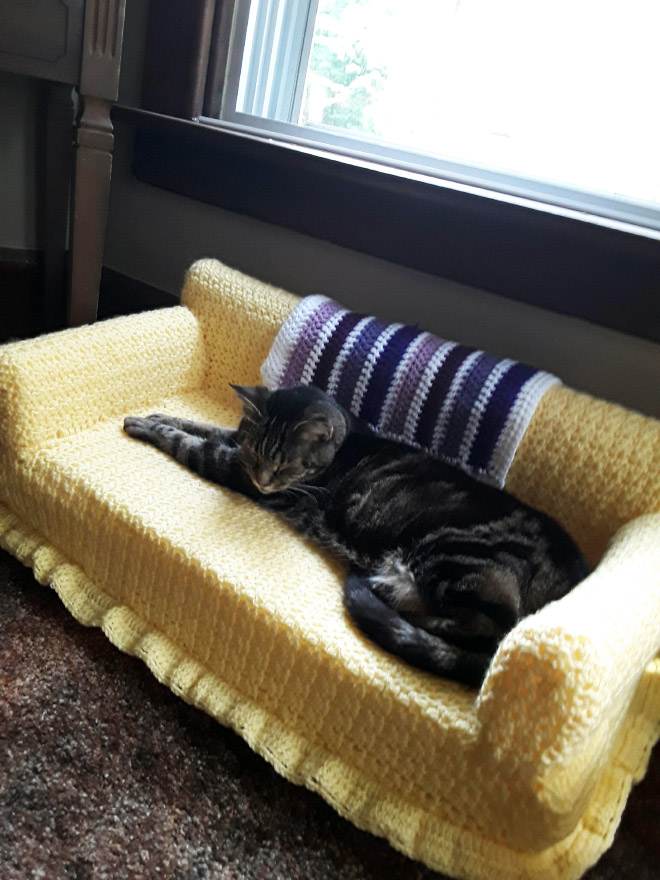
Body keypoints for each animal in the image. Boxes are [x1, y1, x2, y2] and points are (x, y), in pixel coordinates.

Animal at [124, 384, 588, 688]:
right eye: (258, 452)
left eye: (285, 464)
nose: (263, 479)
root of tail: (573, 574)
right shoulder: (237, 450)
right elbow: (206, 427)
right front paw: (155, 416)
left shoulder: (233, 470)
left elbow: (192, 444)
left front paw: (148, 427)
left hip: (456, 554)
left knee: (486, 634)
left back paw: (387, 596)